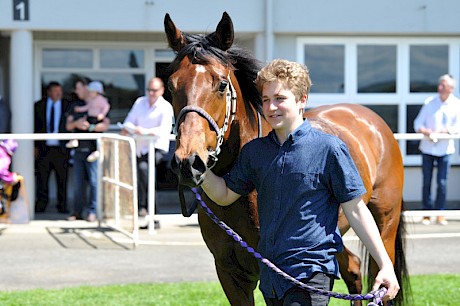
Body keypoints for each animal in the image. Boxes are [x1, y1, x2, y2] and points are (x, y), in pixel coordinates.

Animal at [164, 11, 408, 304]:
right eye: (170, 87)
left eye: (221, 85)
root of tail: (373, 122)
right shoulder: (231, 275)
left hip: (384, 224)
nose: (188, 162)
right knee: (352, 269)